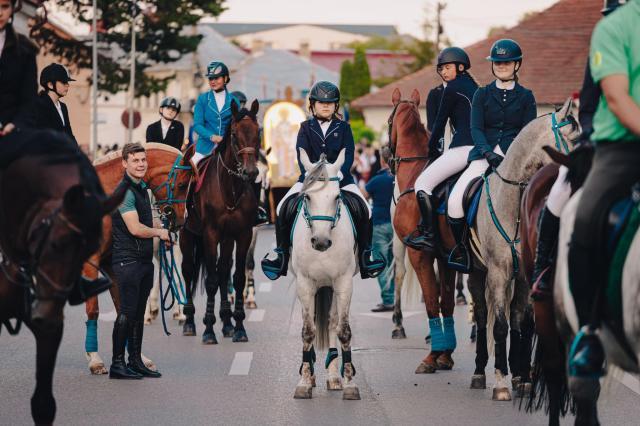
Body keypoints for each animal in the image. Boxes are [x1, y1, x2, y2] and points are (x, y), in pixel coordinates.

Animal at [80, 143, 190, 372]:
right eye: (183, 184)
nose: (181, 220)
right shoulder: (90, 263)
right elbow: (93, 309)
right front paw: (94, 359)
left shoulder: (112, 263)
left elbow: (124, 309)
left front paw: (139, 358)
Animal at [180, 101, 260, 344]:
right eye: (233, 134)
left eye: (258, 133)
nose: (251, 172)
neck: (230, 188)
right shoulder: (210, 234)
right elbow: (211, 280)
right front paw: (208, 329)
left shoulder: (242, 234)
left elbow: (237, 277)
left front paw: (239, 327)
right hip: (187, 235)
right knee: (188, 271)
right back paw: (189, 322)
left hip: (226, 239)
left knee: (224, 271)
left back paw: (227, 323)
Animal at [290, 148, 360, 402]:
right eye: (308, 198)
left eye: (337, 197)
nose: (320, 242)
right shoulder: (305, 283)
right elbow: (308, 331)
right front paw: (303, 383)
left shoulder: (344, 282)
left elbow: (344, 331)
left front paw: (349, 383)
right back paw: (311, 375)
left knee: (332, 321)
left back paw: (333, 377)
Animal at [384, 89, 460, 372]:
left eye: (388, 121)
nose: (387, 157)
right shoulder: (445, 256)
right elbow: (442, 298)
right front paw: (443, 353)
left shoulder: (423, 253)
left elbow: (432, 298)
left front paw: (436, 354)